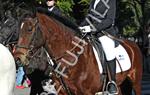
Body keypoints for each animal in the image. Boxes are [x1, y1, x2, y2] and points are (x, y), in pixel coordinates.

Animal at [14, 11, 143, 95]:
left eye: (29, 29)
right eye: (18, 30)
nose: (18, 58)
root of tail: (133, 44)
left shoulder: (87, 92)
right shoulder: (63, 92)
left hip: (136, 82)